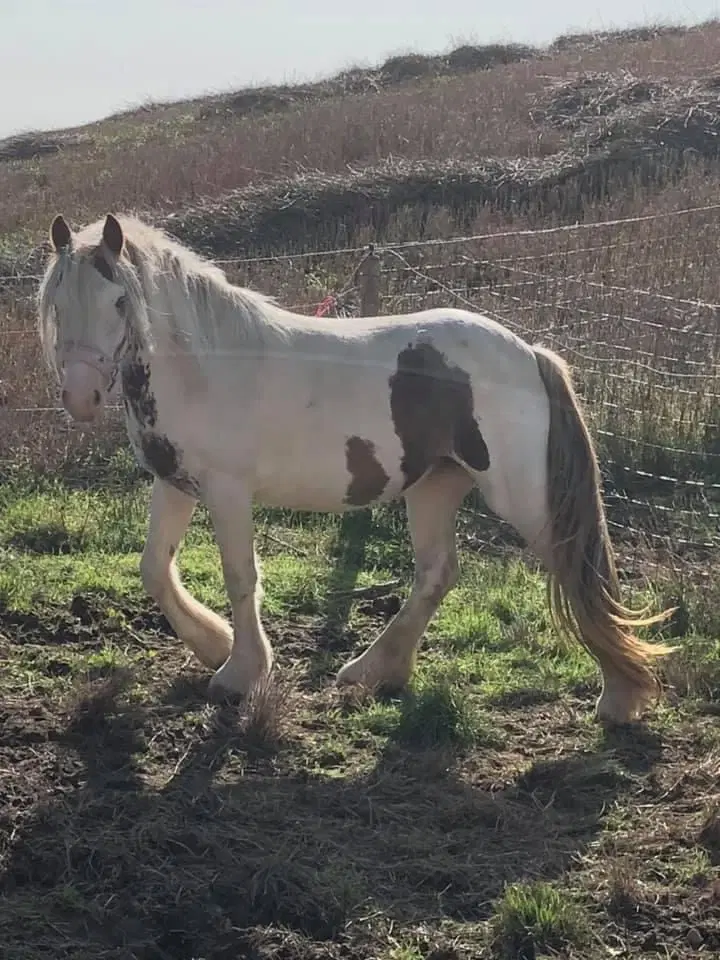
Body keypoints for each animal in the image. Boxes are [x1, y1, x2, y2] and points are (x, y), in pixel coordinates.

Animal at [36, 210, 672, 720]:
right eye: (58, 305)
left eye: (119, 301)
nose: (80, 397)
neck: (205, 368)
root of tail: (528, 353)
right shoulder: (175, 484)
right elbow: (154, 570)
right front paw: (215, 646)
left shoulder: (227, 491)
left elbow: (241, 577)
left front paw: (241, 673)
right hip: (436, 485)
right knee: (437, 574)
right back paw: (375, 672)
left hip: (519, 495)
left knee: (574, 570)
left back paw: (619, 698)